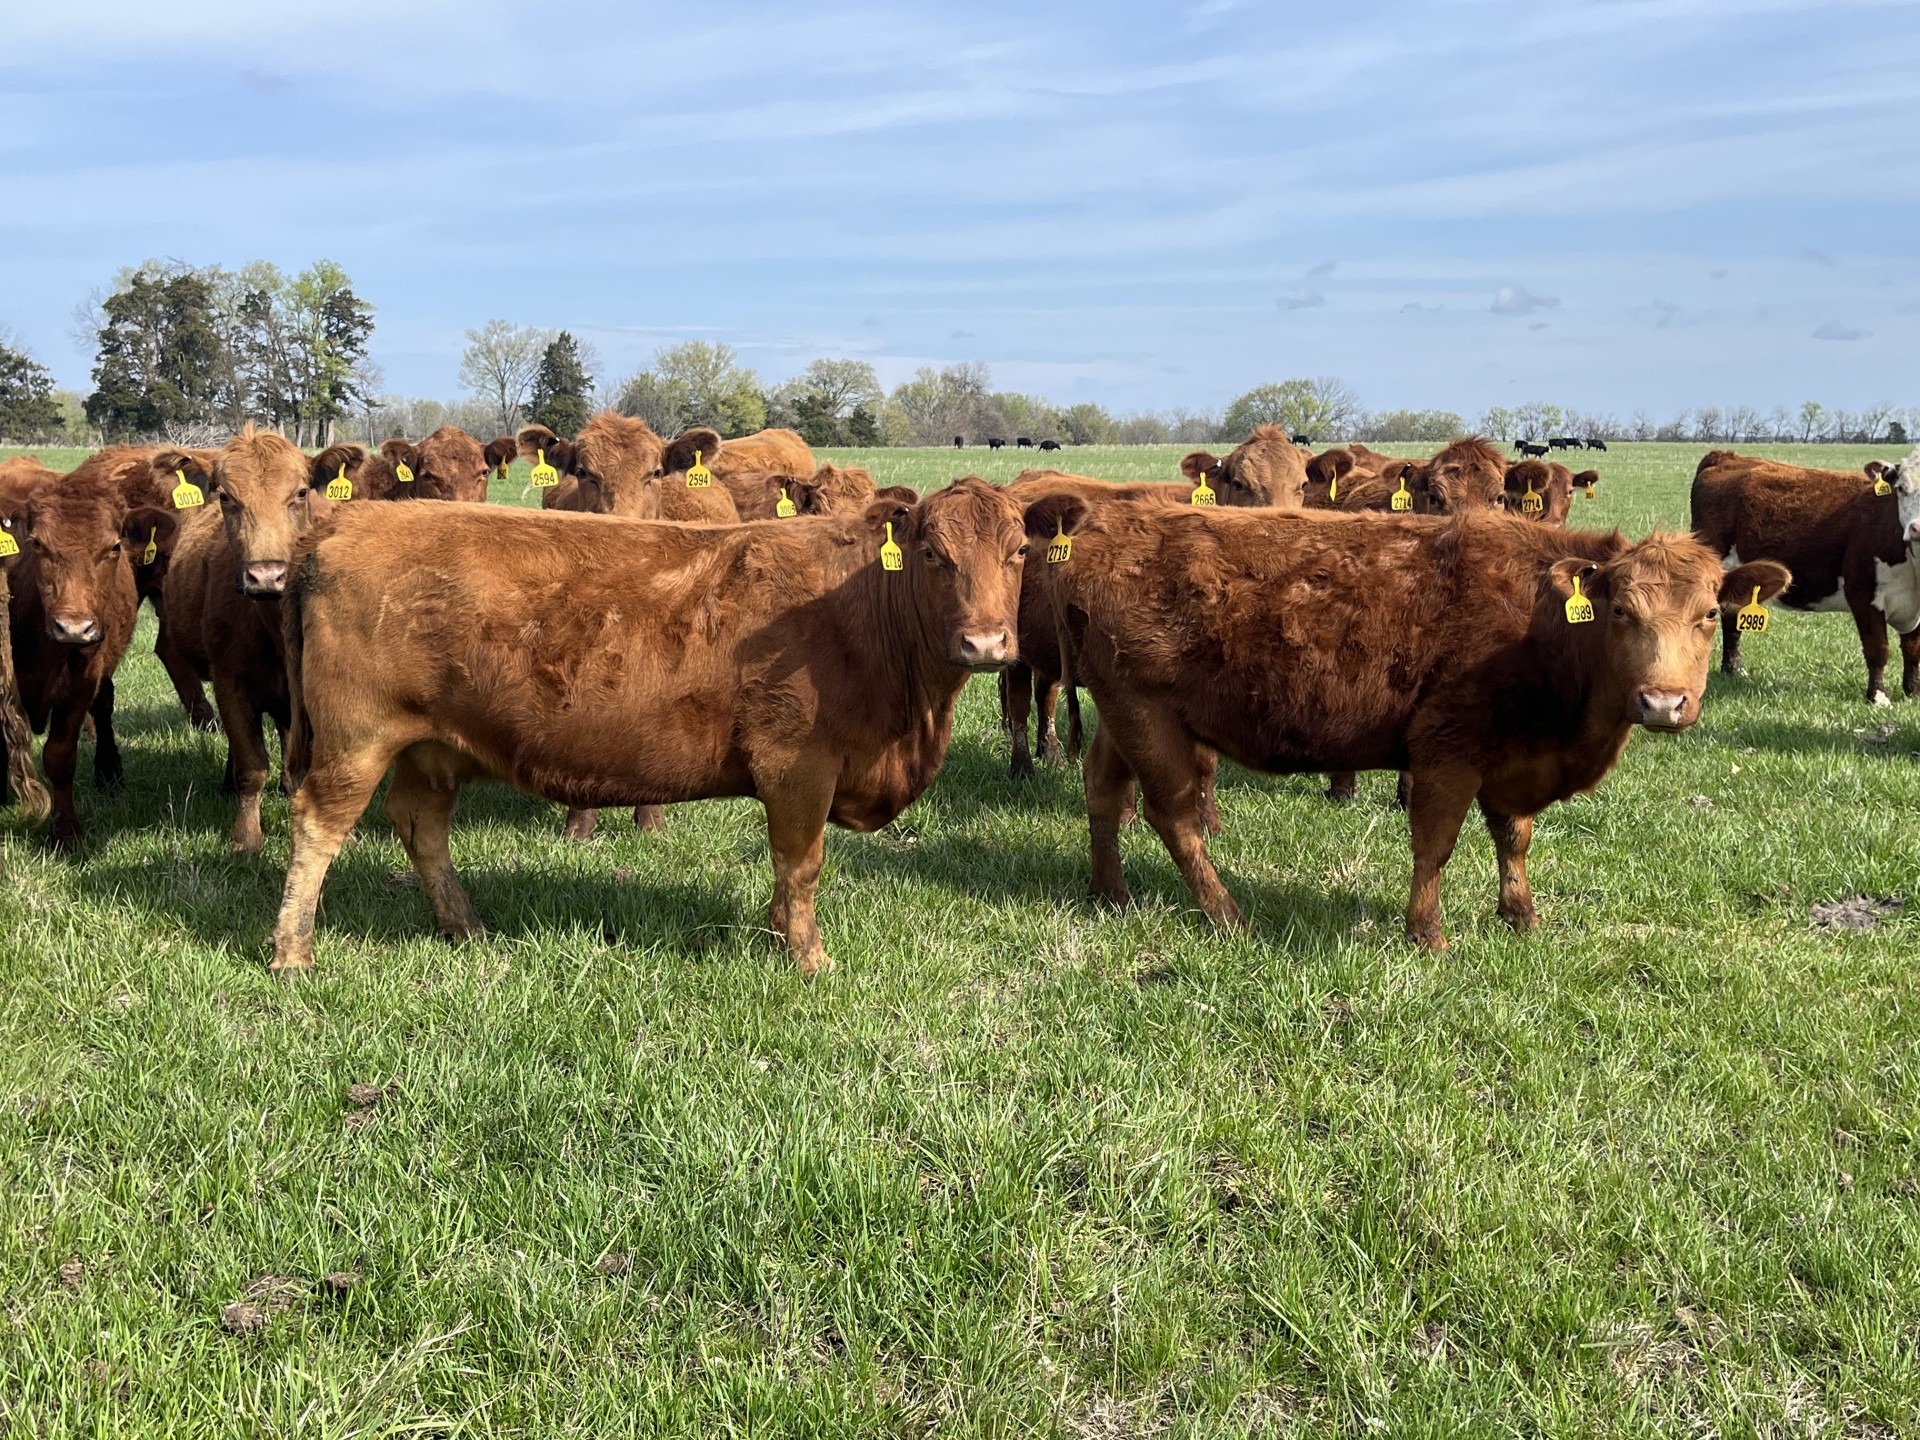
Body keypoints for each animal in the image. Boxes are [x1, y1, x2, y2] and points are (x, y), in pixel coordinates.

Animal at [1, 458, 177, 844]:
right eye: (37, 543)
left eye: (113, 547)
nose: (73, 627)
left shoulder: (81, 684)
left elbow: (60, 757)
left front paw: (67, 833)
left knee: (104, 703)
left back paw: (109, 772)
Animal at [152, 428, 360, 856]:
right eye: (226, 496)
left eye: (301, 492)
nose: (266, 575)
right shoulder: (231, 684)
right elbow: (251, 765)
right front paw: (246, 837)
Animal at [266, 485, 1036, 983]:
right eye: (932, 553)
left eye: (1021, 551)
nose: (985, 643)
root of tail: (344, 520)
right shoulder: (797, 765)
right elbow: (801, 864)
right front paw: (808, 958)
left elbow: (787, 872)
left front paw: (775, 931)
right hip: (356, 740)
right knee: (317, 825)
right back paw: (292, 953)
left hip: (431, 748)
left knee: (420, 825)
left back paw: (466, 926)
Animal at [1029, 499, 1789, 960]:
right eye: (1623, 611)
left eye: (1710, 614)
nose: (1663, 702)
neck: (1540, 620)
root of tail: (1104, 528)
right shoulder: (1448, 750)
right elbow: (1437, 844)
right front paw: (1427, 935)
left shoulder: (1510, 757)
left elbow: (1514, 837)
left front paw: (1521, 915)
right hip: (1148, 716)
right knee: (1176, 815)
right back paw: (1226, 914)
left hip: (1122, 715)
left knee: (1103, 789)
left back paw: (1111, 892)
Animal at [1697, 445, 1920, 706]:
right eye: (1902, 489)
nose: (1917, 528)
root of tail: (1725, 456)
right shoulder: (1863, 594)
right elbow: (1878, 650)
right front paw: (1878, 697)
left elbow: (1913, 649)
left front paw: (1914, 691)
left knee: (1732, 622)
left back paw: (1734, 670)